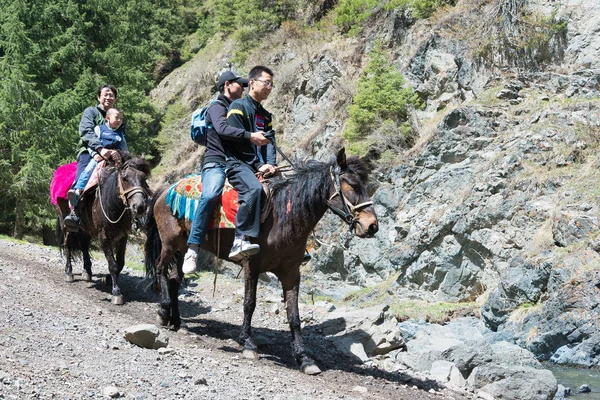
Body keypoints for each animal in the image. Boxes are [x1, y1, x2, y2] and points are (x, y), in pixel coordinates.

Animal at [53, 152, 151, 304]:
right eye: (125, 178)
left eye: (144, 178)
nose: (139, 207)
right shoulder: (103, 236)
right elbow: (113, 264)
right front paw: (116, 292)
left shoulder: (122, 236)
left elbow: (120, 263)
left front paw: (108, 279)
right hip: (65, 222)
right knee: (67, 245)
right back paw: (69, 272)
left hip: (84, 227)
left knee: (84, 244)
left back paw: (87, 272)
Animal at [144, 148, 376, 374]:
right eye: (352, 184)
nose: (372, 226)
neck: (283, 217)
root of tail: (165, 189)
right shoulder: (251, 266)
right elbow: (249, 304)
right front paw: (247, 343)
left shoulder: (291, 273)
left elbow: (294, 316)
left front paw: (303, 358)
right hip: (170, 243)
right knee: (161, 269)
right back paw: (163, 313)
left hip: (183, 248)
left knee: (174, 279)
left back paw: (177, 321)